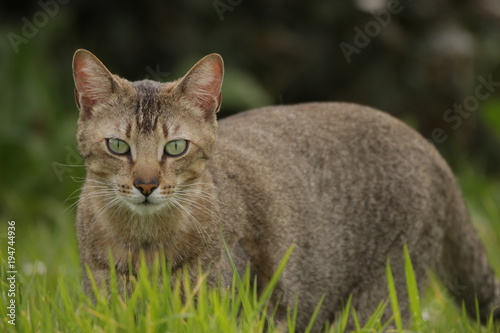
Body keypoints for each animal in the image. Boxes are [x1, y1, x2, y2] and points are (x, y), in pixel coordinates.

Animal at [72, 48, 498, 330]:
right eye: (118, 146)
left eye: (175, 147)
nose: (146, 184)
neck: (144, 246)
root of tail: (430, 147)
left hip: (379, 300)